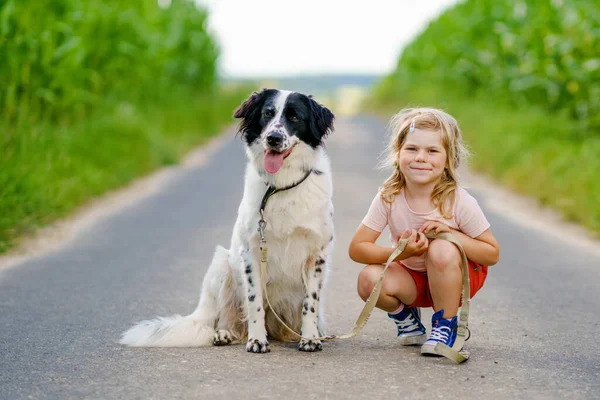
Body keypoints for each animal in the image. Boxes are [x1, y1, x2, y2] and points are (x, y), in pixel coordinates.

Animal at [120, 89, 338, 352]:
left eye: (295, 117)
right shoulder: (251, 251)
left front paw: (310, 338)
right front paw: (257, 340)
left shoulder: (317, 255)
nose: (273, 138)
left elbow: (310, 304)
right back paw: (224, 333)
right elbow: (255, 303)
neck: (281, 186)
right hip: (221, 265)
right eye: (267, 114)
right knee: (227, 319)